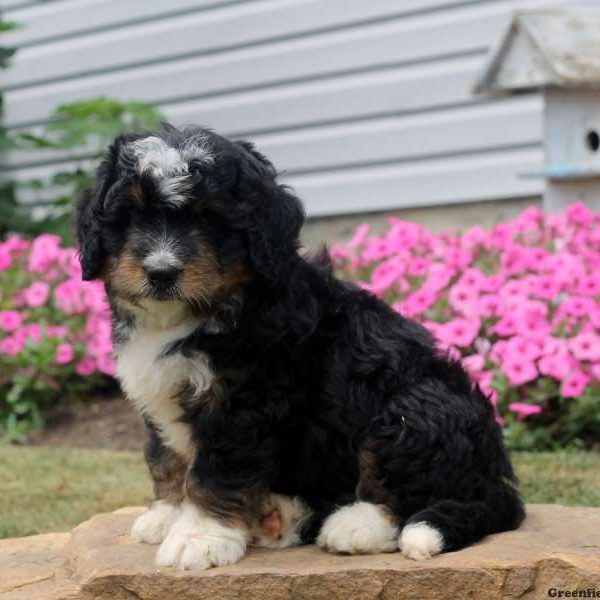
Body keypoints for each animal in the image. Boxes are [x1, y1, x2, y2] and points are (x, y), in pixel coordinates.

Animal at [75, 124, 524, 568]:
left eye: (209, 218)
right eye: (130, 216)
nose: (161, 271)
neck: (196, 314)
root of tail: (497, 475)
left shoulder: (243, 401)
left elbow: (216, 470)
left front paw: (200, 536)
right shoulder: (160, 394)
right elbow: (165, 457)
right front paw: (166, 515)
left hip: (415, 408)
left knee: (405, 490)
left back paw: (354, 526)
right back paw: (282, 517)